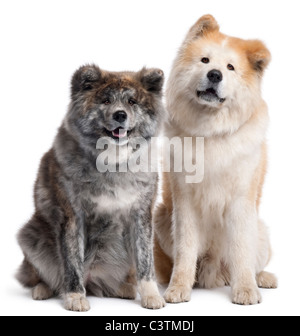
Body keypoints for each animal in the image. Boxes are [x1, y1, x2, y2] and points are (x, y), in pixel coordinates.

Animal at [16, 64, 166, 312]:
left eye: (132, 101)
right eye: (105, 100)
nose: (120, 115)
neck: (113, 164)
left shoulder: (141, 216)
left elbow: (146, 262)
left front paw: (151, 295)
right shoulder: (73, 216)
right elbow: (72, 262)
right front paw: (75, 297)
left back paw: (123, 289)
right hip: (30, 236)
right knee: (42, 276)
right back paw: (43, 290)